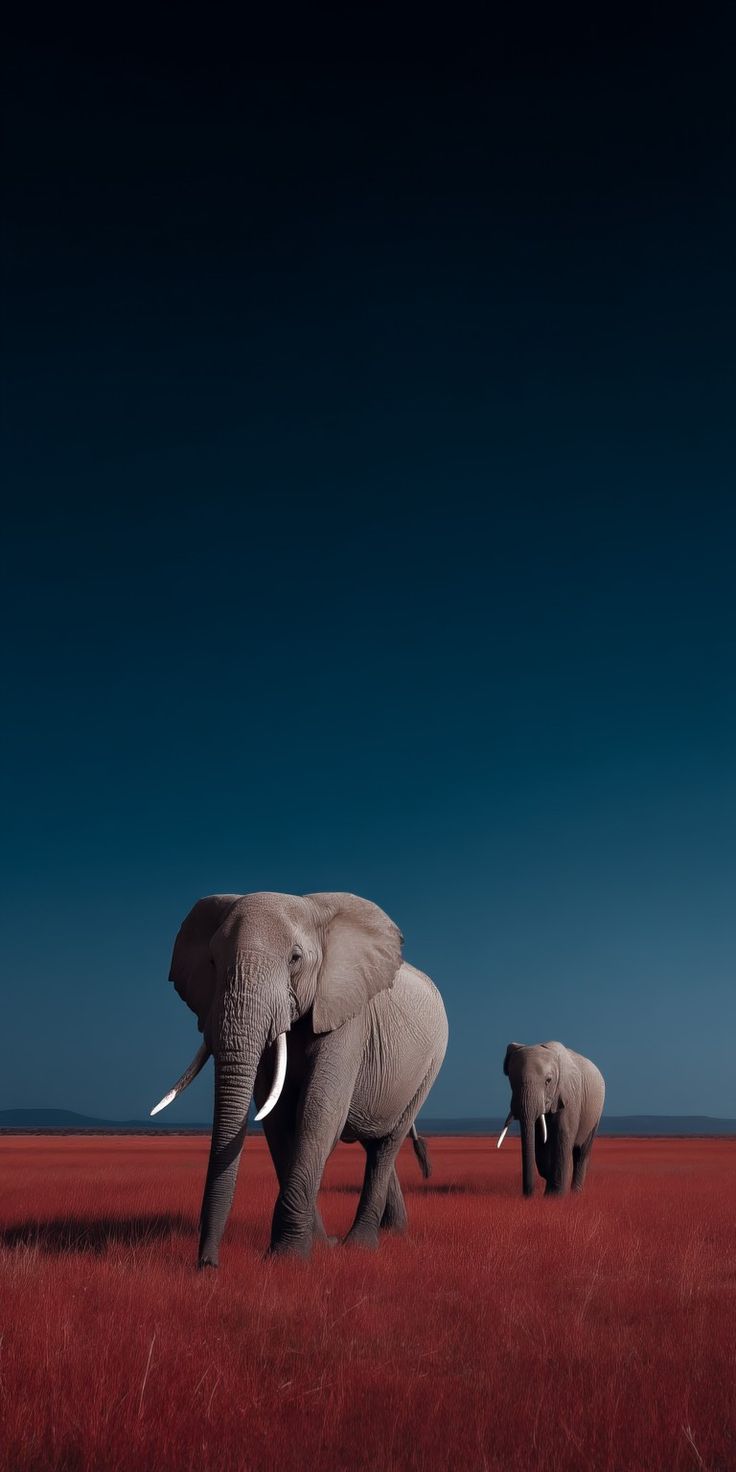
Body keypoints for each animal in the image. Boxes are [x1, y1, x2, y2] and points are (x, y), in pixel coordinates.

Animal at [151, 891, 448, 1265]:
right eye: (213, 961)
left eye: (295, 959)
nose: (208, 1264)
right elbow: (276, 1117)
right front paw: (318, 1245)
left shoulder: (347, 1013)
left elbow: (319, 1110)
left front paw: (289, 1257)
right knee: (373, 1140)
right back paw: (391, 1232)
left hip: (431, 1064)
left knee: (386, 1145)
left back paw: (361, 1245)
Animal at [499, 1041, 605, 1197]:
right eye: (511, 1081)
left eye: (548, 1081)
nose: (528, 1196)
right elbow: (539, 1142)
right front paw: (549, 1184)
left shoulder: (569, 1095)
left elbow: (562, 1134)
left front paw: (554, 1197)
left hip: (596, 1113)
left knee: (582, 1152)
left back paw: (575, 1194)